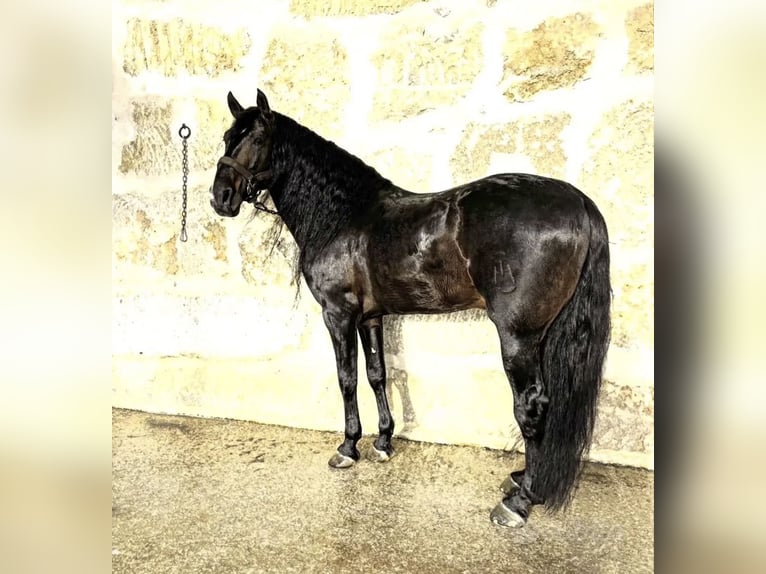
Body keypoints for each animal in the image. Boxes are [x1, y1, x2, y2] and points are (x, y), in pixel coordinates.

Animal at [209, 89, 611, 528]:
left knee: (531, 406)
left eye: (257, 139)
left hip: (518, 336)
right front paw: (383, 441)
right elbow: (377, 374)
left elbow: (347, 379)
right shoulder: (371, 317)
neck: (342, 217)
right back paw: (522, 479)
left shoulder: (338, 314)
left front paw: (347, 448)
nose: (220, 198)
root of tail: (580, 204)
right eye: (228, 137)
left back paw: (519, 502)